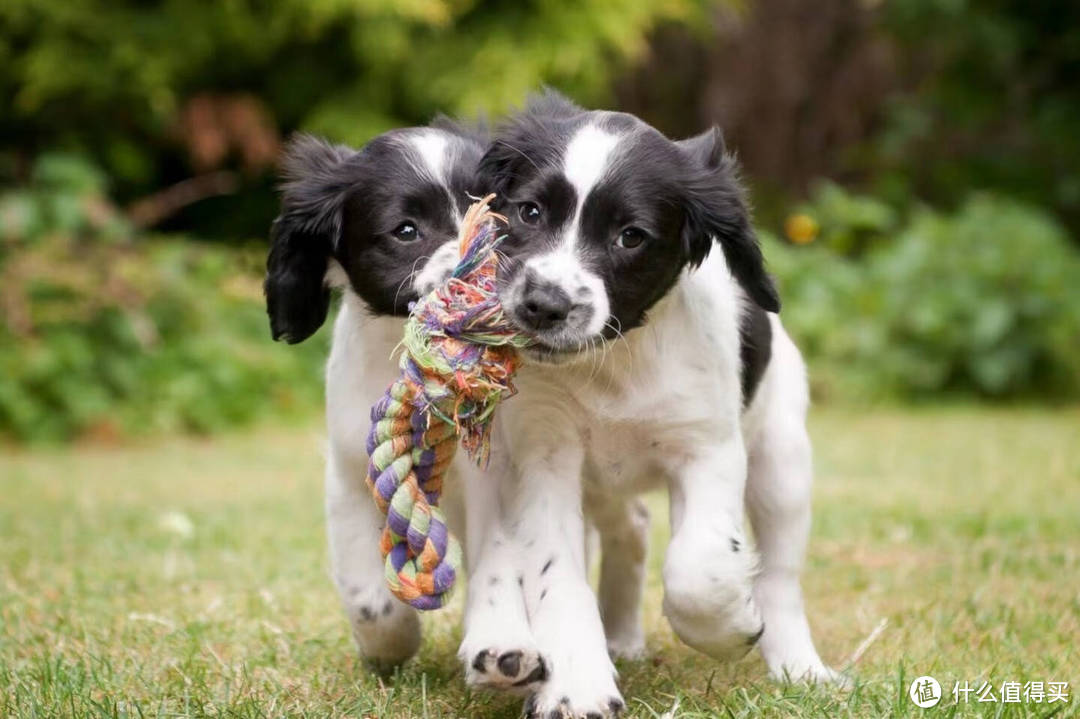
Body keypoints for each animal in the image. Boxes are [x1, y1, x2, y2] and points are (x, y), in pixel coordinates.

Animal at [455, 92, 833, 712]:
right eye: (530, 212)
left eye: (630, 236)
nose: (544, 305)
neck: (616, 360)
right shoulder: (544, 455)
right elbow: (558, 576)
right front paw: (579, 686)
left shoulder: (707, 448)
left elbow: (699, 568)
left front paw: (730, 627)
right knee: (629, 526)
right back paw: (623, 638)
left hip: (782, 460)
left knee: (780, 574)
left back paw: (801, 667)